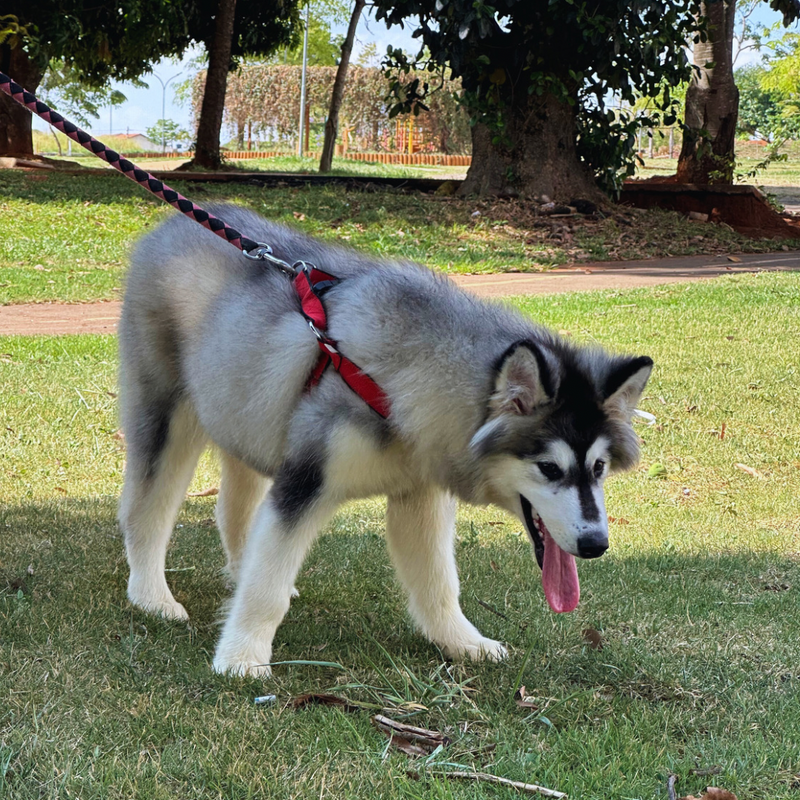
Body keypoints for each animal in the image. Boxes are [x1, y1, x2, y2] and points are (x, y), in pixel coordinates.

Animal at [119, 202, 652, 676]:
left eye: (599, 468)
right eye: (549, 468)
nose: (596, 544)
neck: (402, 381)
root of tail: (171, 224)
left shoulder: (420, 494)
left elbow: (439, 583)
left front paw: (464, 643)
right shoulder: (306, 481)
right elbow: (266, 588)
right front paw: (242, 659)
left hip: (245, 409)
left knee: (235, 506)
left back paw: (234, 569)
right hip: (168, 415)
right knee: (147, 509)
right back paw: (152, 597)